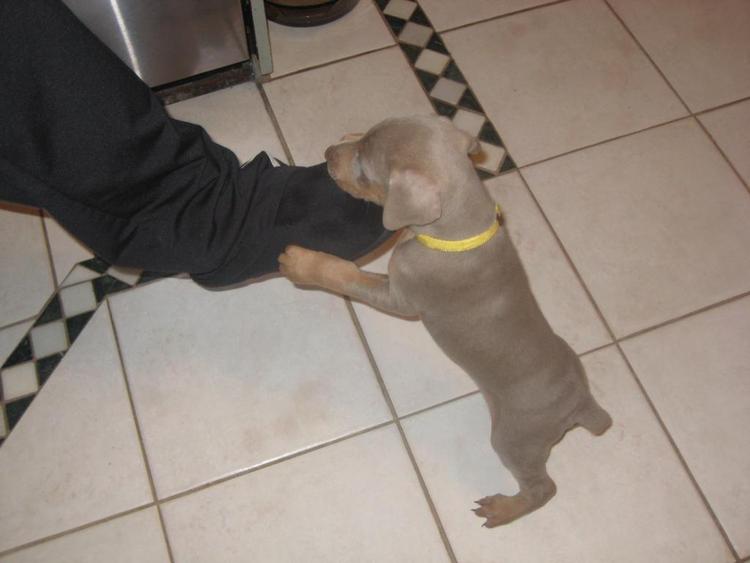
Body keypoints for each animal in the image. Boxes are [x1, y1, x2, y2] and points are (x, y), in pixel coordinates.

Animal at [280, 115, 612, 528]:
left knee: (543, 488)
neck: (460, 232)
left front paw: (302, 263)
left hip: (516, 437)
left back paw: (502, 509)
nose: (327, 153)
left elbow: (345, 275)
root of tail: (581, 401)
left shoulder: (403, 296)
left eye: (364, 169)